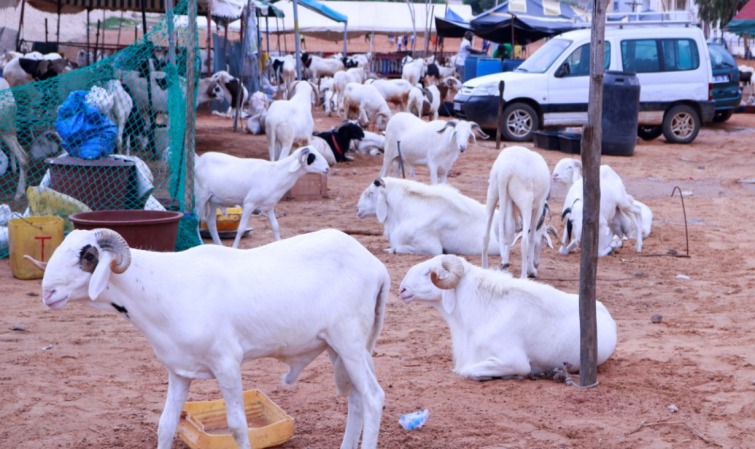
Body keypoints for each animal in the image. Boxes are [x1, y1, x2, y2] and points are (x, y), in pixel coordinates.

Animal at [31, 228, 390, 448]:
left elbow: (237, 426)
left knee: (373, 397)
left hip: (349, 341)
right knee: (357, 399)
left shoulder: (226, 362)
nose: (48, 294)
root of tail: (376, 266)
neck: (163, 286)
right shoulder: (178, 371)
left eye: (87, 257)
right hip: (340, 347)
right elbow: (166, 424)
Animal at [193, 144, 330, 247]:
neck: (276, 173)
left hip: (213, 200)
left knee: (211, 223)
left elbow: (275, 226)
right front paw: (235, 248)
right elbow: (241, 228)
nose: (327, 169)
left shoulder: (269, 206)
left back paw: (219, 245)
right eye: (312, 157)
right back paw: (200, 243)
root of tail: (199, 160)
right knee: (196, 220)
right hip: (201, 196)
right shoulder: (249, 203)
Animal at [484, 145, 548, 278]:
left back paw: (486, 268)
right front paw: (531, 270)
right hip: (526, 201)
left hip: (492, 192)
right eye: (543, 243)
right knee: (524, 242)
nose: (537, 264)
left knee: (485, 236)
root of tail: (505, 169)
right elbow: (531, 238)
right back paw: (523, 277)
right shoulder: (537, 208)